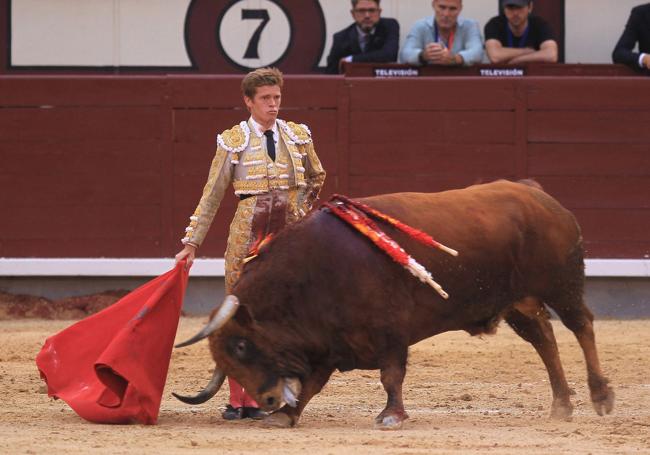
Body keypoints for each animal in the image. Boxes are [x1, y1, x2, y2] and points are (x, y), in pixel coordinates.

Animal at [172, 180, 612, 430]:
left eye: (241, 345)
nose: (265, 400)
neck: (314, 271)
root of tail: (540, 196)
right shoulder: (327, 343)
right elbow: (313, 383)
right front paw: (285, 416)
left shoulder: (390, 332)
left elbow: (391, 376)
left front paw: (391, 417)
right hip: (518, 302)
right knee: (545, 339)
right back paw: (561, 404)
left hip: (561, 285)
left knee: (582, 326)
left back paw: (600, 397)